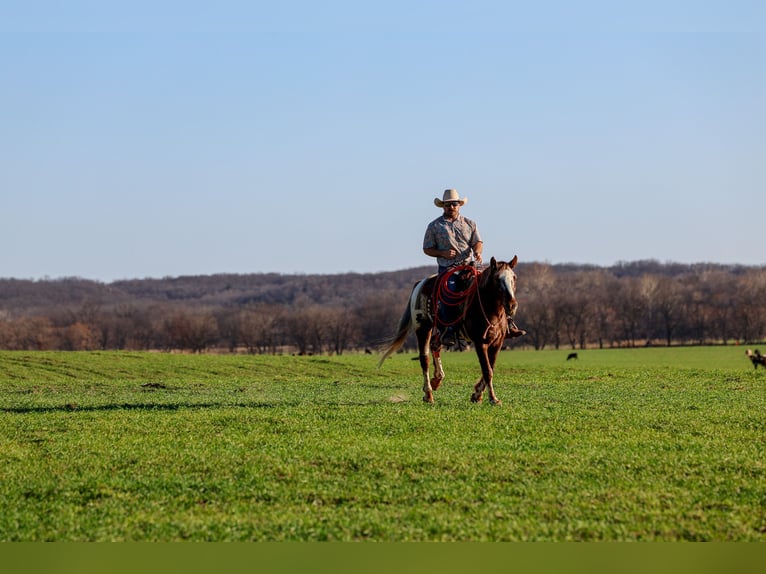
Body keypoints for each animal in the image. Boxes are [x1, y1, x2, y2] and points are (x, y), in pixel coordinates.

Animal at [379, 256, 519, 405]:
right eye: (497, 278)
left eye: (514, 277)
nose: (511, 305)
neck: (489, 308)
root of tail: (420, 284)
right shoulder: (480, 342)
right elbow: (487, 371)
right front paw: (493, 399)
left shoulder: (497, 342)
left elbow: (490, 367)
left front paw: (477, 394)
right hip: (423, 328)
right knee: (424, 358)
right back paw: (428, 394)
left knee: (435, 345)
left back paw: (437, 379)